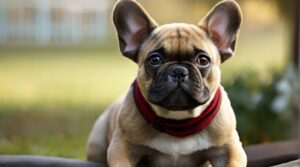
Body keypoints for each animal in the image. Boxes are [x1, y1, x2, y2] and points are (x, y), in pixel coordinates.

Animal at [86, 0, 246, 166]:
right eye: (155, 60)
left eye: (203, 60)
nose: (178, 71)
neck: (179, 123)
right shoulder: (121, 147)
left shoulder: (229, 149)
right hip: (97, 140)